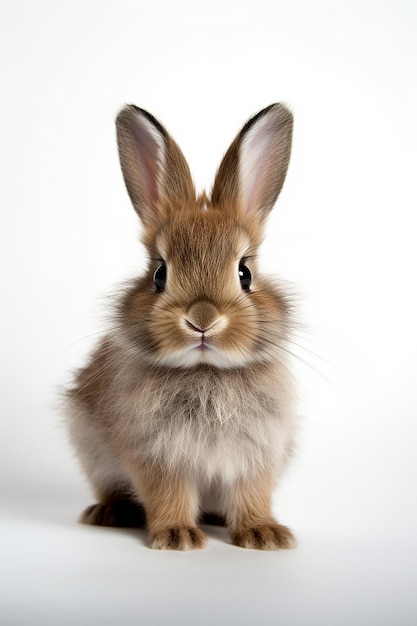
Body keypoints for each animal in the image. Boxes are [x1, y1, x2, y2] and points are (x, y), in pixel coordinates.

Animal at [66, 101, 296, 544]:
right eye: (160, 274)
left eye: (245, 274)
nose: (202, 320)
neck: (206, 371)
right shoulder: (156, 455)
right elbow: (167, 493)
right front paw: (177, 536)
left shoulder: (258, 455)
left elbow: (252, 494)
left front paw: (264, 535)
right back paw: (109, 512)